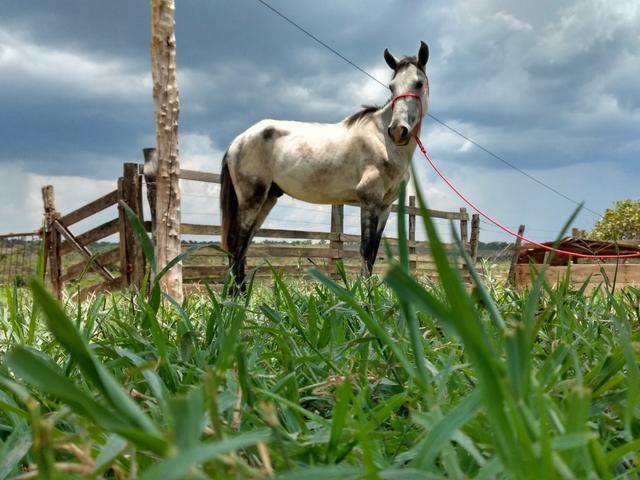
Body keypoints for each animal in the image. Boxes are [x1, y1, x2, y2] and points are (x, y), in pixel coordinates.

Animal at [220, 41, 430, 286]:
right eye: (391, 87)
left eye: (419, 83)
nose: (397, 130)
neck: (382, 140)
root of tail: (238, 140)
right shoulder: (369, 199)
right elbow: (366, 249)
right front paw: (364, 292)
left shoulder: (385, 206)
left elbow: (374, 252)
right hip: (251, 199)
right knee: (237, 244)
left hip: (267, 199)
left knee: (243, 246)